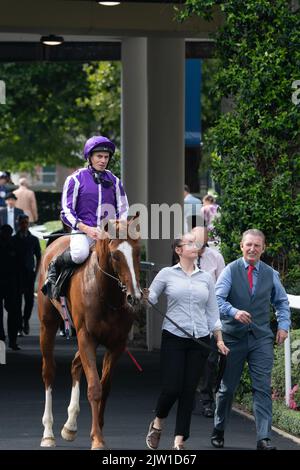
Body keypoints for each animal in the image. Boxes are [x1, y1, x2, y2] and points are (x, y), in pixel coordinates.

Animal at [37, 218, 142, 450]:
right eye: (115, 255)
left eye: (138, 252)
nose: (135, 297)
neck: (106, 295)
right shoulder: (86, 337)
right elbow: (94, 387)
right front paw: (97, 439)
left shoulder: (117, 343)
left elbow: (105, 386)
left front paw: (98, 430)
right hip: (48, 324)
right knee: (49, 372)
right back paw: (48, 433)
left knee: (75, 364)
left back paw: (69, 426)